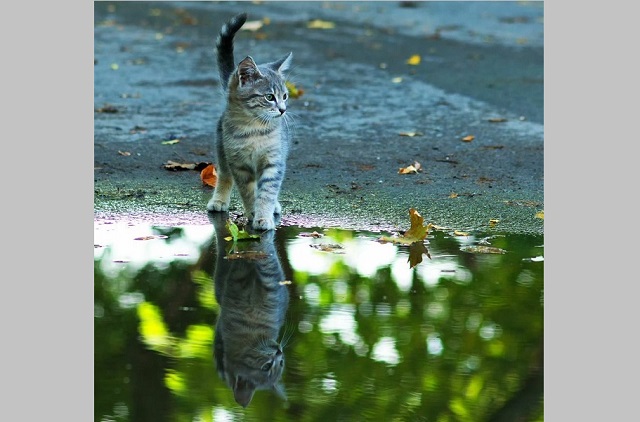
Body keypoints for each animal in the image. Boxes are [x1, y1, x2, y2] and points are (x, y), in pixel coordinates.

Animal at [208, 13, 292, 231]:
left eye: (285, 96)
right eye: (269, 97)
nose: (283, 110)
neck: (254, 129)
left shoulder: (273, 161)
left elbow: (268, 191)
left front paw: (263, 216)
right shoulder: (238, 164)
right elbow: (247, 191)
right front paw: (253, 211)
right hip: (221, 149)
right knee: (224, 176)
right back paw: (219, 200)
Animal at [210, 213, 290, 408]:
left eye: (281, 364)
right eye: (267, 366)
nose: (279, 352)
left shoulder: (271, 284)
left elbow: (267, 267)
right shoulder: (236, 282)